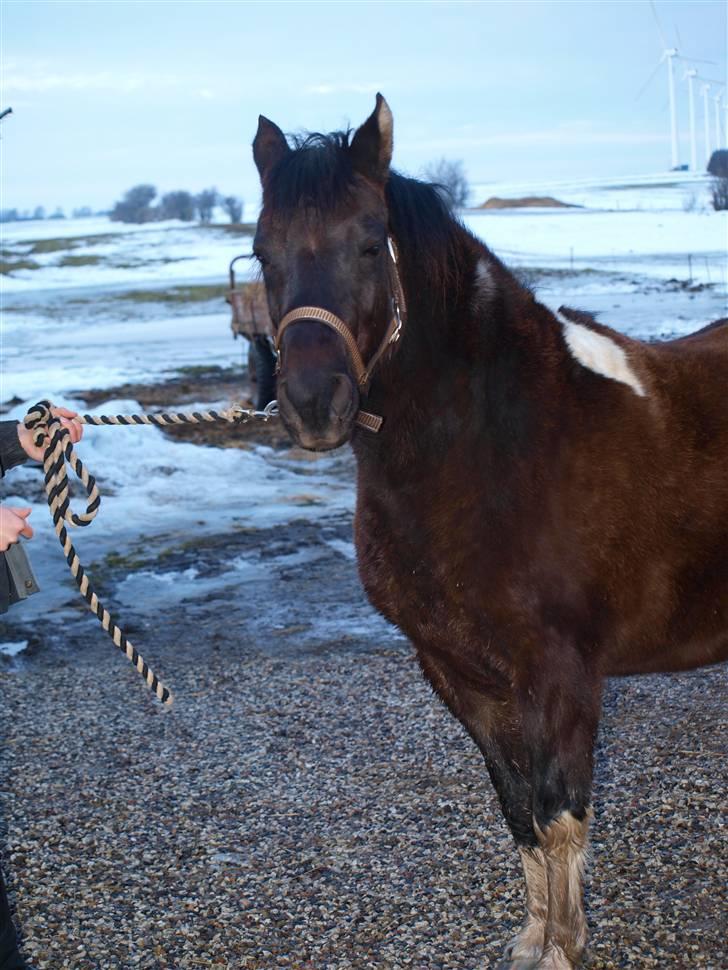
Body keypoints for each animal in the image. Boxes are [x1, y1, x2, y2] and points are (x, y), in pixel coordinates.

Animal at [252, 94, 728, 964]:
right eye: (260, 252)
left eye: (369, 241)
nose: (311, 403)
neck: (496, 444)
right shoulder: (459, 674)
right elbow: (517, 812)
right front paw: (535, 937)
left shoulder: (563, 676)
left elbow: (559, 815)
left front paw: (564, 948)